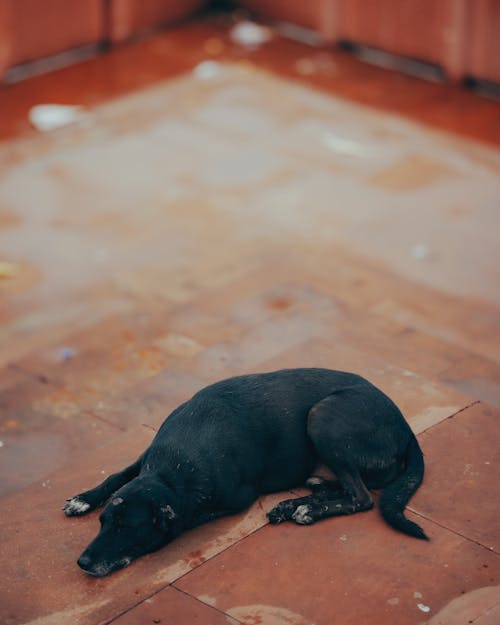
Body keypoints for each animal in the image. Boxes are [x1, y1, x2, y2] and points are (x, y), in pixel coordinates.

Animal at [64, 366, 428, 576]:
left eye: (127, 528)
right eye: (103, 522)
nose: (82, 563)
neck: (173, 468)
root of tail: (405, 426)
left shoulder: (233, 499)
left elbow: (188, 517)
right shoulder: (146, 459)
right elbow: (118, 475)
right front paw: (84, 498)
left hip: (323, 416)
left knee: (361, 497)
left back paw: (307, 509)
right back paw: (295, 504)